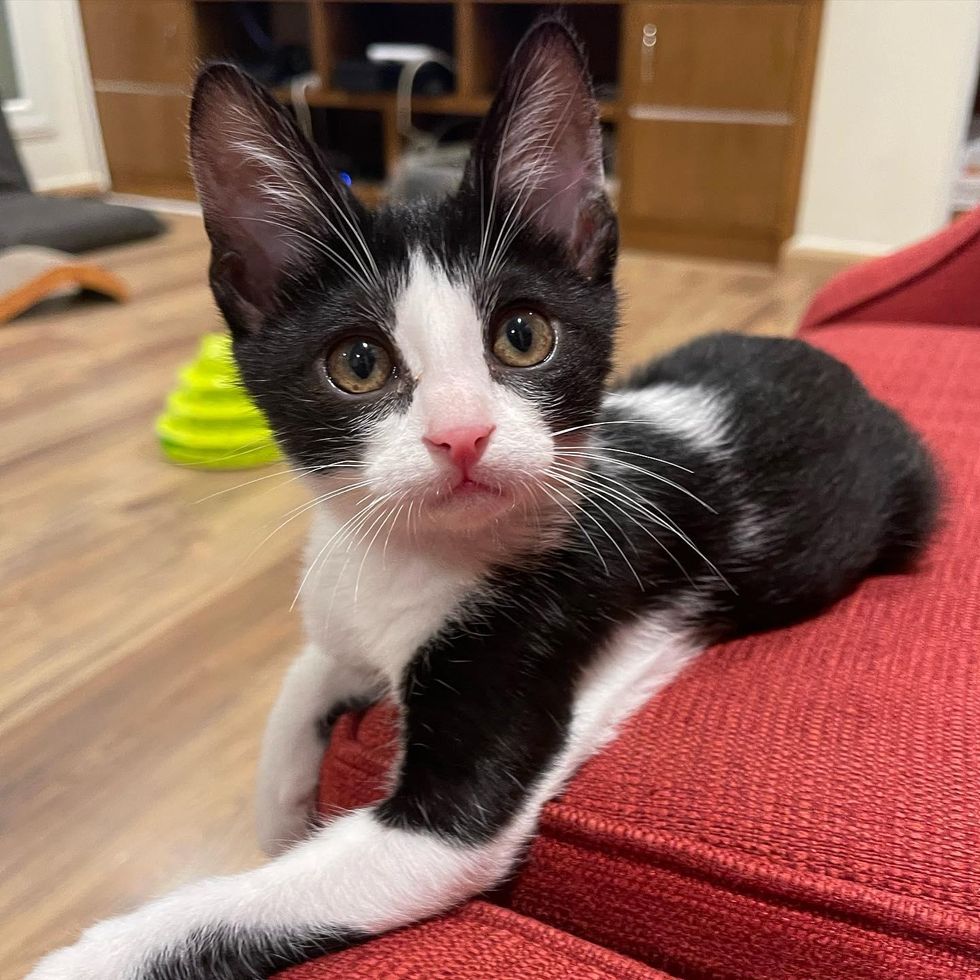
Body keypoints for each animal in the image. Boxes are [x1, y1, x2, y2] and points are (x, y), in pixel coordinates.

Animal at [28, 15, 936, 980]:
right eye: (358, 362)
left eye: (523, 336)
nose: (461, 434)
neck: (407, 552)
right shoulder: (348, 601)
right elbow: (308, 669)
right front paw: (279, 800)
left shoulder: (493, 722)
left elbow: (244, 901)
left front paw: (99, 952)